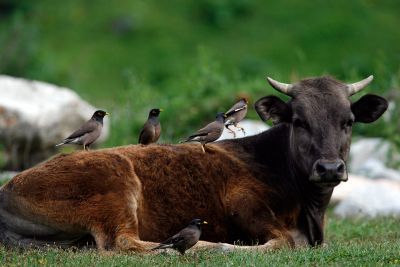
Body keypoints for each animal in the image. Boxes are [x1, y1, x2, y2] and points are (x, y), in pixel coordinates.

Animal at [0, 75, 388, 253]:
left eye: (348, 121)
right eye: (299, 121)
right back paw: (208, 247)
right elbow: (282, 243)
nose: (329, 168)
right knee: (124, 242)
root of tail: (7, 189)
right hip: (116, 185)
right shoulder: (244, 203)